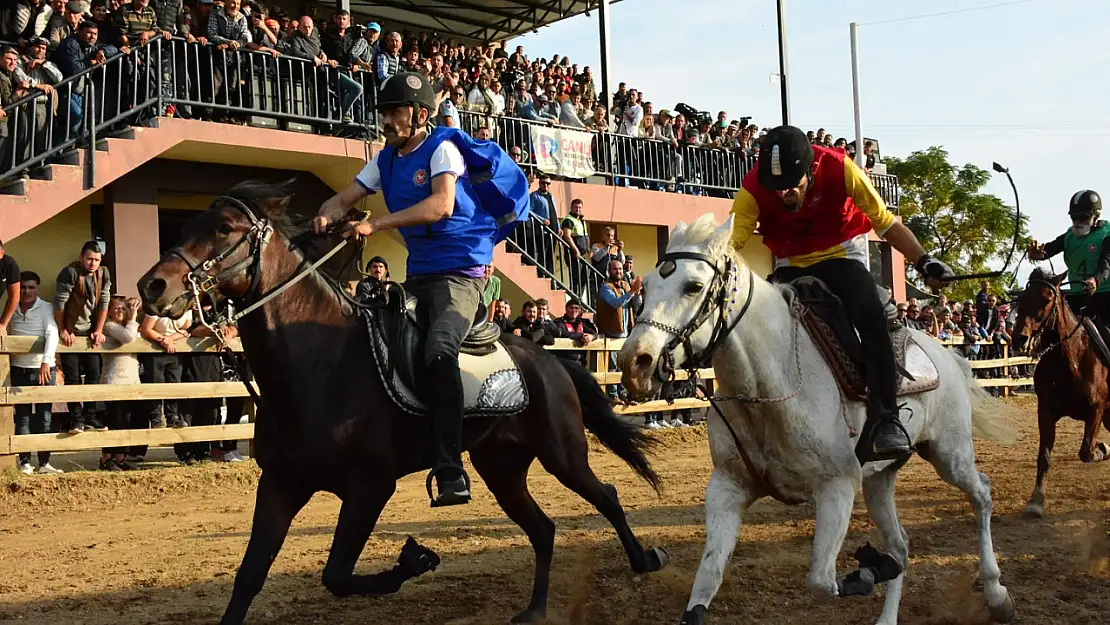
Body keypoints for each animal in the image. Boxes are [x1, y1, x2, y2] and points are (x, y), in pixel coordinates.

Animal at [134, 182, 670, 625]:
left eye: (224, 229)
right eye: (184, 226)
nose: (151, 287)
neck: (317, 364)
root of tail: (548, 360)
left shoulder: (370, 487)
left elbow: (336, 576)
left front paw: (416, 560)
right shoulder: (281, 484)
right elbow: (249, 577)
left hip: (562, 453)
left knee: (606, 497)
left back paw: (645, 561)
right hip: (501, 466)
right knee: (543, 529)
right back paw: (536, 610)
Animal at [621, 213, 1016, 621]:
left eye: (693, 286)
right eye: (645, 285)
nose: (634, 363)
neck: (768, 386)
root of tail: (948, 355)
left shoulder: (837, 487)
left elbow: (822, 581)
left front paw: (870, 569)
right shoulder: (727, 489)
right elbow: (706, 582)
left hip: (950, 454)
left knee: (982, 494)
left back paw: (996, 593)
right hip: (880, 478)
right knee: (901, 544)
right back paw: (887, 617)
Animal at [1012, 268, 1105, 519]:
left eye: (1046, 299)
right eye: (1021, 298)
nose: (1019, 338)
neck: (1070, 360)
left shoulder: (1096, 410)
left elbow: (1086, 451)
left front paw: (1101, 450)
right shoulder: (1045, 411)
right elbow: (1044, 456)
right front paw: (1036, 501)